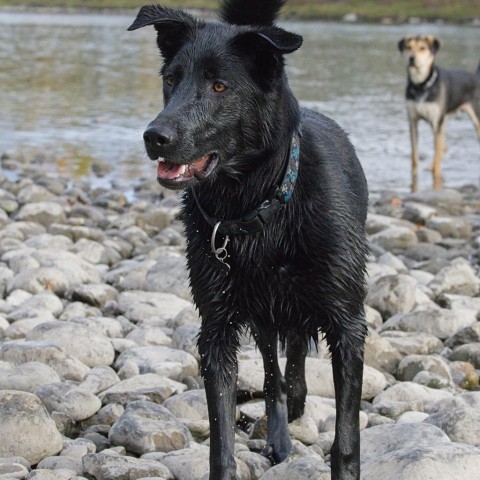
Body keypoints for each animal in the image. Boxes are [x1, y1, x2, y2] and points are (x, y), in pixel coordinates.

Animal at [128, 1, 368, 478]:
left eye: (220, 86)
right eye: (171, 79)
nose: (155, 137)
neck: (255, 207)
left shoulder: (348, 326)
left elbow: (346, 439)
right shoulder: (217, 330)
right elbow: (221, 437)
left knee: (293, 370)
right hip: (261, 317)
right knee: (276, 380)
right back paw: (279, 435)